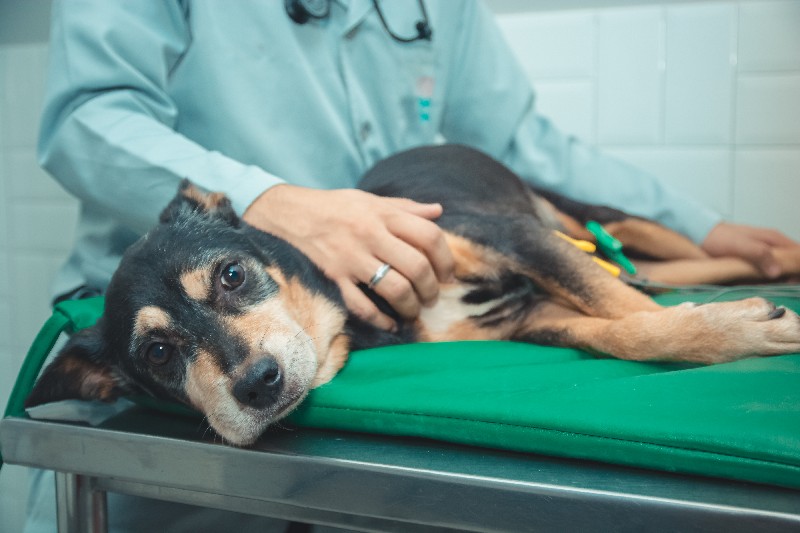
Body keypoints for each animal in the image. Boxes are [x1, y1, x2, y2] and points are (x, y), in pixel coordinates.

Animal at [25, 144, 800, 444]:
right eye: (158, 352)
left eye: (232, 276)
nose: (257, 383)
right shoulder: (532, 316)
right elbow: (620, 326)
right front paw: (723, 327)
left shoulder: (517, 238)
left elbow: (626, 308)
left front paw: (734, 329)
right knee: (665, 271)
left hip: (587, 217)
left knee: (681, 250)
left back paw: (773, 254)